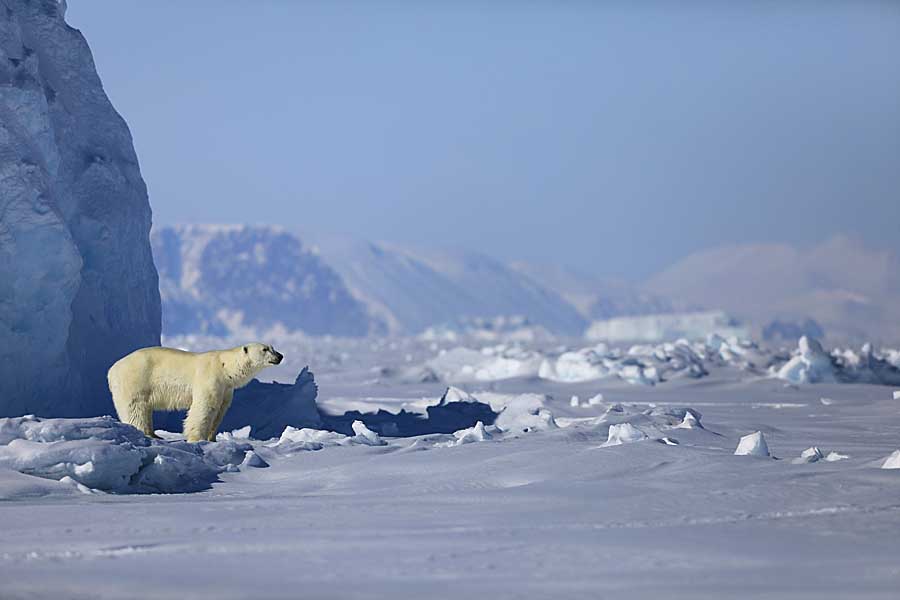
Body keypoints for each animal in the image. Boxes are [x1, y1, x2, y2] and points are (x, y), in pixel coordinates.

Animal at [109, 342, 284, 440]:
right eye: (265, 349)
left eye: (273, 348)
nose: (280, 356)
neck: (225, 367)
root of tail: (112, 370)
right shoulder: (209, 378)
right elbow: (205, 407)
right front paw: (197, 439)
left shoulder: (226, 389)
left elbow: (220, 411)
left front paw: (212, 438)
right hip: (135, 380)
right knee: (135, 409)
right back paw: (146, 433)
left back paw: (155, 435)